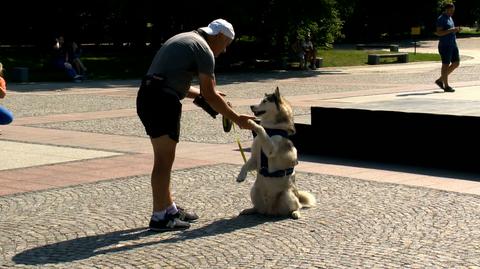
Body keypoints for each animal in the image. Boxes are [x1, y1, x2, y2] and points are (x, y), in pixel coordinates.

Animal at [236, 87, 316, 219]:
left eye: (264, 101)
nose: (251, 106)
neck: (271, 129)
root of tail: (270, 211)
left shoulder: (270, 149)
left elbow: (261, 128)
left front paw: (253, 123)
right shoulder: (255, 159)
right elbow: (245, 165)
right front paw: (240, 176)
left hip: (287, 195)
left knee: (297, 206)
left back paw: (295, 213)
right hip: (254, 190)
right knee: (258, 208)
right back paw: (249, 210)